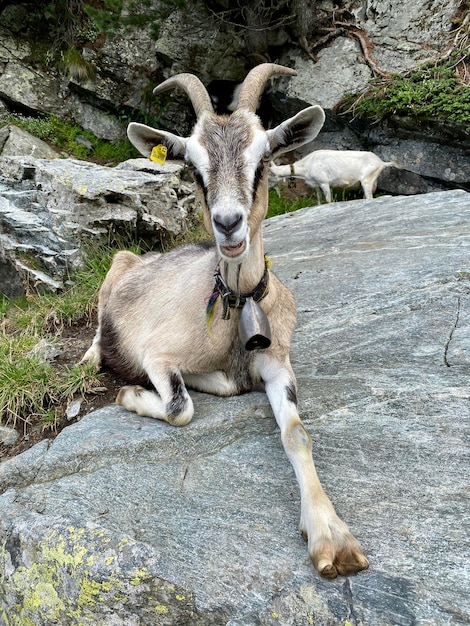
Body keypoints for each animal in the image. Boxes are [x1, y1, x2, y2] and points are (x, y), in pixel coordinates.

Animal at [82, 64, 370, 580]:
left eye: (263, 159)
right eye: (194, 169)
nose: (228, 223)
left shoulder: (278, 364)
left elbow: (297, 432)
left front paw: (332, 538)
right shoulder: (157, 355)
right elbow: (180, 407)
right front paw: (131, 394)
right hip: (115, 267)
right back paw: (91, 359)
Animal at [270, 149, 398, 202]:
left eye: (269, 176)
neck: (307, 165)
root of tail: (381, 162)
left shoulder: (324, 182)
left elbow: (328, 200)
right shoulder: (317, 185)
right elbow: (319, 200)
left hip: (367, 181)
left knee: (369, 197)